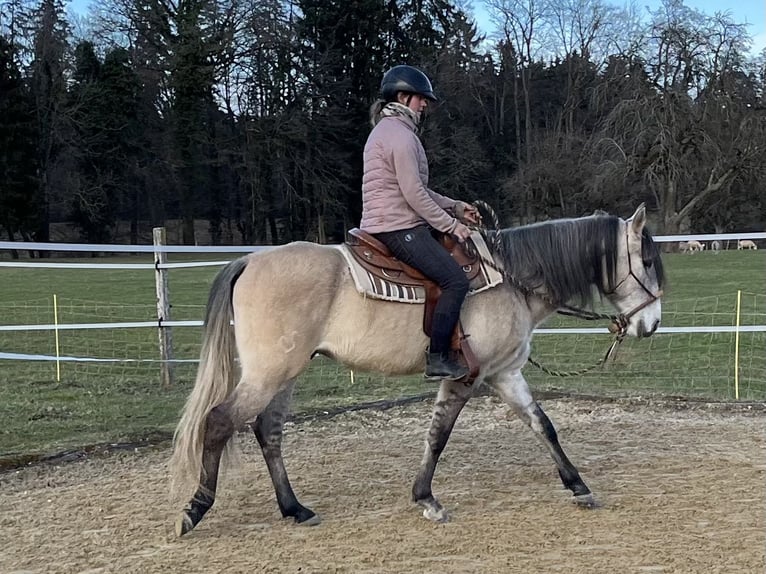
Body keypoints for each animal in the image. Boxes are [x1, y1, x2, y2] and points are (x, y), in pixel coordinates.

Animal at [170, 205, 664, 536]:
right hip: (268, 373)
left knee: (267, 431)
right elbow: (438, 436)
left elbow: (543, 425)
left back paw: (295, 508)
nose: (652, 324)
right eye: (646, 261)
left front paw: (578, 484)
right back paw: (194, 510)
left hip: (284, 374)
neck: (512, 279)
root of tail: (250, 259)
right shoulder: (465, 377)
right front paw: (427, 499)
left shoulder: (505, 374)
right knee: (219, 422)